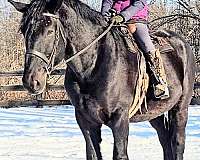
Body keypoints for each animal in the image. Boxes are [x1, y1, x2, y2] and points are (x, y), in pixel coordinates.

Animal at [8, 0, 195, 160]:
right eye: (24, 31)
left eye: (50, 30)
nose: (31, 80)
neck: (92, 67)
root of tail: (183, 44)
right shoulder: (86, 121)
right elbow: (92, 154)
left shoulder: (120, 119)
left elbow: (120, 154)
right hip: (153, 112)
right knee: (164, 140)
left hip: (180, 108)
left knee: (177, 143)